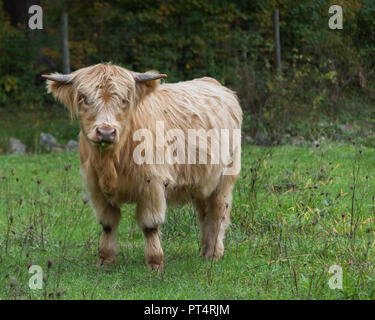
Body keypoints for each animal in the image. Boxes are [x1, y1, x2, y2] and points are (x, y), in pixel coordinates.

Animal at [43, 63, 244, 270]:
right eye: (83, 98)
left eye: (124, 99)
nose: (106, 132)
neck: (111, 163)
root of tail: (216, 85)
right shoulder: (95, 187)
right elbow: (107, 224)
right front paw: (106, 260)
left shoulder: (152, 184)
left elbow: (150, 225)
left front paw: (155, 262)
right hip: (202, 182)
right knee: (204, 214)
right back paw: (205, 251)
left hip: (225, 179)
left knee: (219, 212)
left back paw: (214, 253)